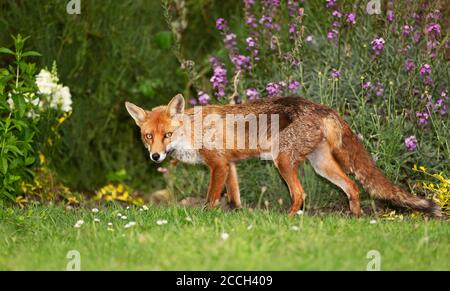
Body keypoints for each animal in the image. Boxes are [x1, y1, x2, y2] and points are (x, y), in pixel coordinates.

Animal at [125, 94, 442, 218]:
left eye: (167, 135)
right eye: (148, 136)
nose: (155, 157)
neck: (193, 130)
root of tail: (323, 107)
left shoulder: (218, 165)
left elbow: (211, 198)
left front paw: (205, 216)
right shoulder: (230, 165)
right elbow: (234, 196)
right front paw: (238, 214)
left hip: (284, 160)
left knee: (300, 194)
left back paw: (289, 220)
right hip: (321, 165)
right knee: (352, 186)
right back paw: (355, 217)